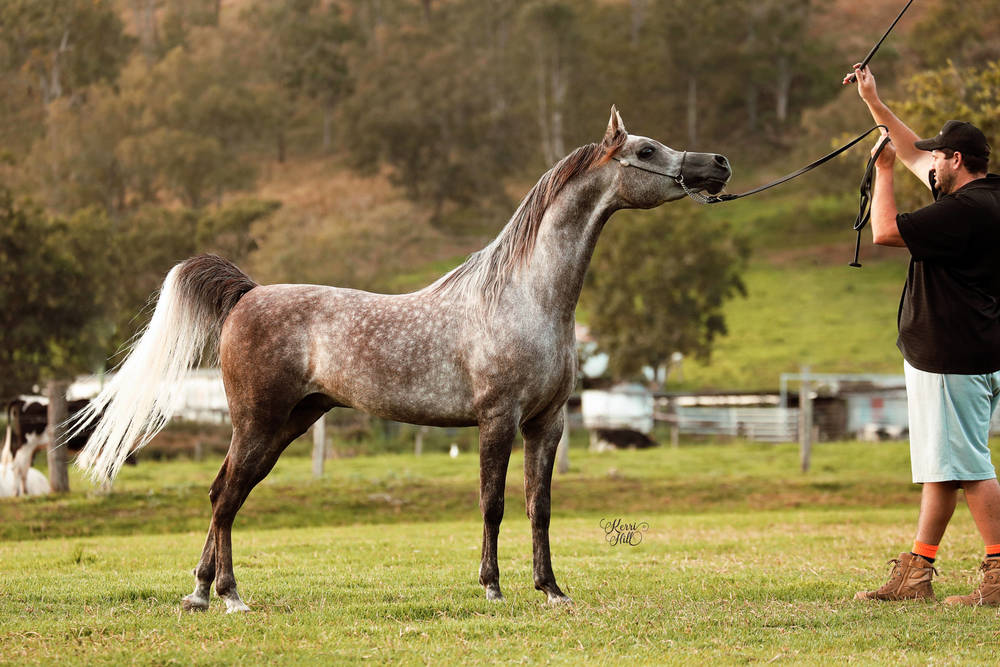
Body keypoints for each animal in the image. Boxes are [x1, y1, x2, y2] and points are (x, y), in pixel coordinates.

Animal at [72, 107, 731, 613]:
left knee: (221, 494)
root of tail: (247, 294)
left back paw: (206, 593)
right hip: (258, 423)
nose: (718, 165)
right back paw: (227, 596)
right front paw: (492, 588)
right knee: (228, 497)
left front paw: (551, 590)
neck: (525, 296)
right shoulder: (498, 419)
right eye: (647, 149)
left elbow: (538, 507)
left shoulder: (547, 424)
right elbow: (493, 503)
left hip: (288, 424)